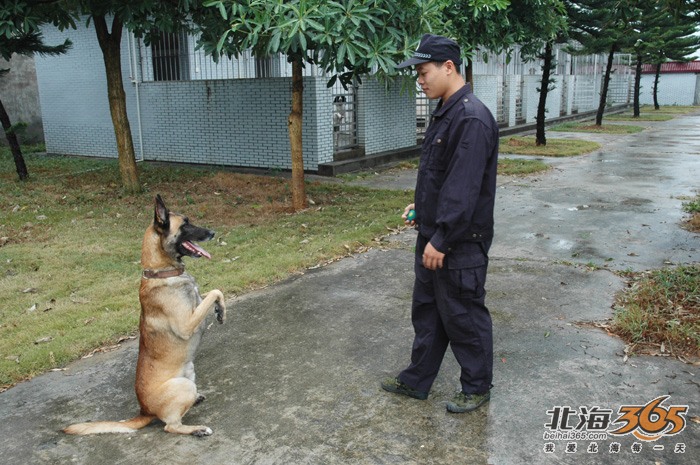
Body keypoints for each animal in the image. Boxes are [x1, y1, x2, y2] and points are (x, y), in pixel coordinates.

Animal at [64, 194, 224, 434]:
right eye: (185, 225)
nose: (213, 232)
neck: (162, 272)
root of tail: (144, 411)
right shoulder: (186, 324)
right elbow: (214, 291)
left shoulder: (196, 302)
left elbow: (212, 294)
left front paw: (221, 310)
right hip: (184, 385)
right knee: (170, 426)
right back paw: (197, 429)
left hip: (190, 372)